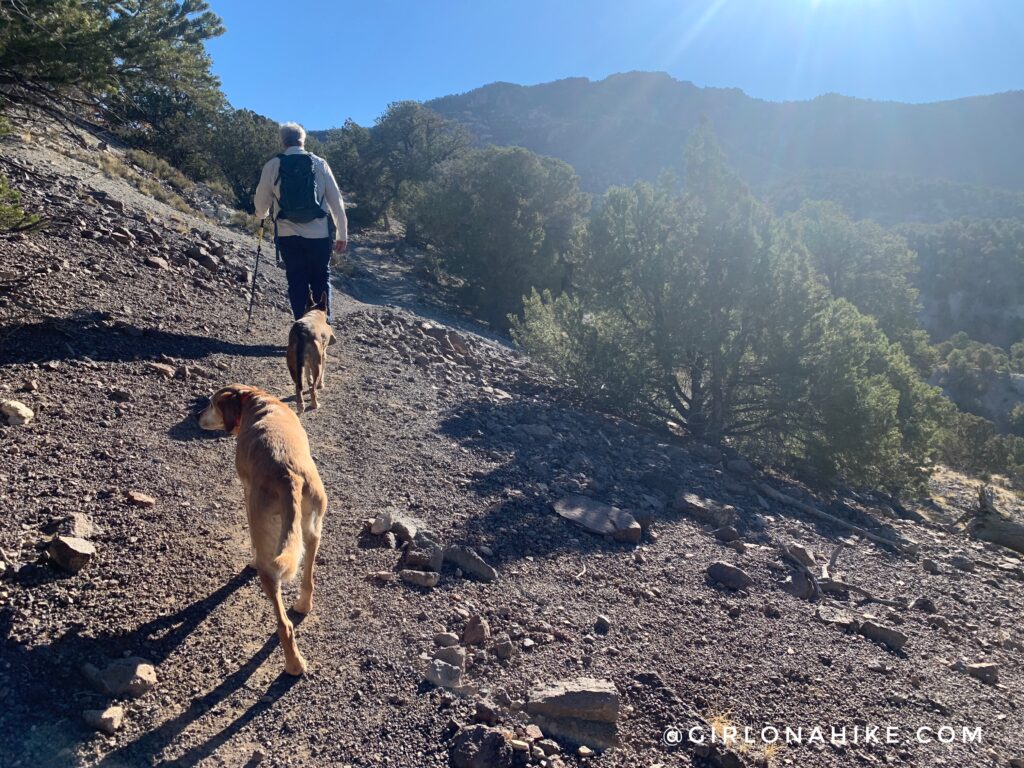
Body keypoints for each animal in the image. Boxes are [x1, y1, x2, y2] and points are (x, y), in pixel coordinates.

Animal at [196, 382, 327, 671]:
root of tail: (289, 476)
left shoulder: (247, 492)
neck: (255, 400)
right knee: (308, 577)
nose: (197, 416)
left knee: (284, 624)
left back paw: (293, 664)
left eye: (210, 403)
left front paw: (251, 560)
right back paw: (303, 605)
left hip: (271, 559)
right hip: (313, 530)